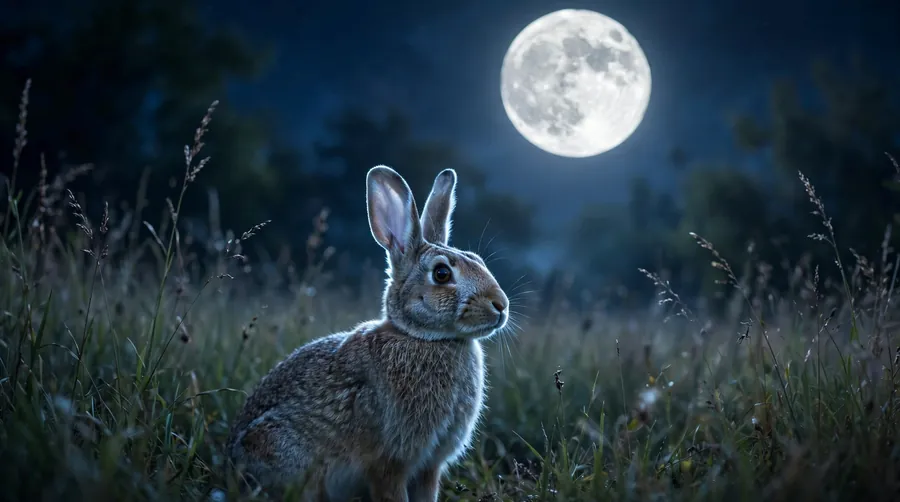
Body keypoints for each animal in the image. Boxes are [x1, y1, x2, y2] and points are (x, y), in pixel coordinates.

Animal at [226, 165, 510, 502]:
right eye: (442, 274)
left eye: (478, 261)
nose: (501, 305)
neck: (424, 337)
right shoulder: (389, 462)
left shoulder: (429, 466)